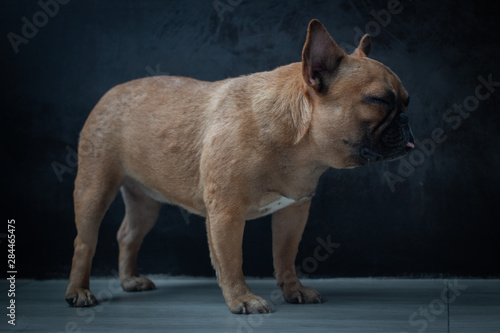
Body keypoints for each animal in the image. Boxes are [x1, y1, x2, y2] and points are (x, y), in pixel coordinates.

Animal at [65, 19, 414, 312]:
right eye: (379, 100)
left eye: (406, 101)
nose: (407, 120)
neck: (296, 141)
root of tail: (112, 92)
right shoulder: (226, 213)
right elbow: (231, 260)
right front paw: (242, 299)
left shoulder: (293, 210)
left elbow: (285, 256)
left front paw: (294, 290)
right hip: (94, 187)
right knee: (84, 241)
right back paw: (79, 291)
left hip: (145, 202)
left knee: (128, 235)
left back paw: (129, 281)